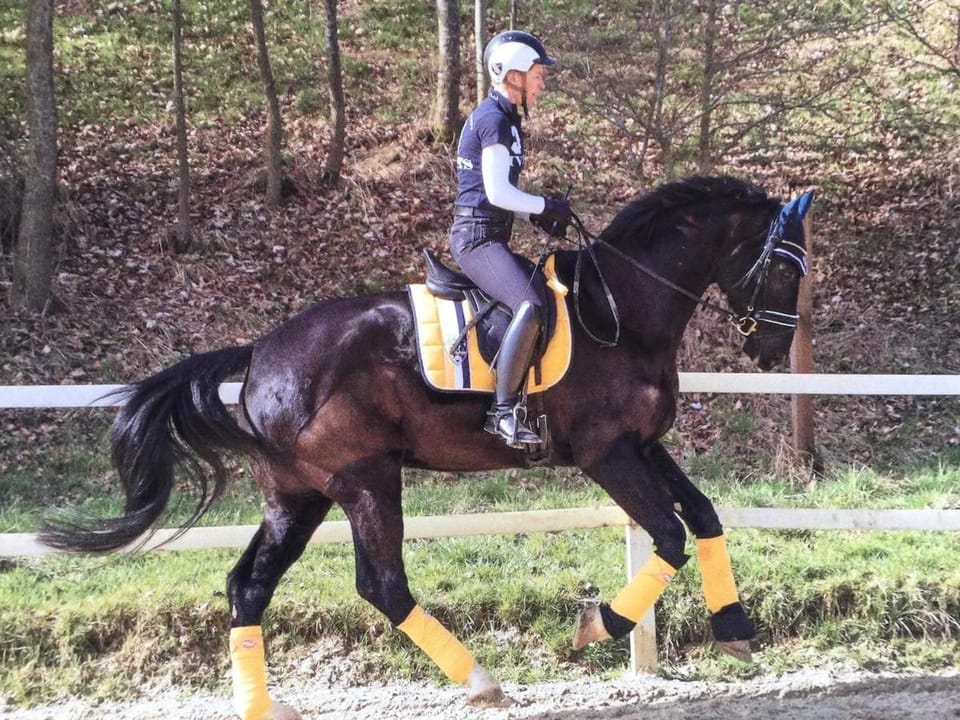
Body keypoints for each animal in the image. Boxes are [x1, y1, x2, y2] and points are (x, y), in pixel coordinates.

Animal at [41, 176, 814, 719]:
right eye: (783, 269)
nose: (771, 351)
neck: (622, 312)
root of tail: (259, 354)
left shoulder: (644, 446)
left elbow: (704, 516)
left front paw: (734, 625)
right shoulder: (608, 455)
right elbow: (669, 535)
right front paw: (600, 624)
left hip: (298, 498)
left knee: (248, 586)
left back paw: (263, 705)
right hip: (365, 481)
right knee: (381, 584)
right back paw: (481, 681)